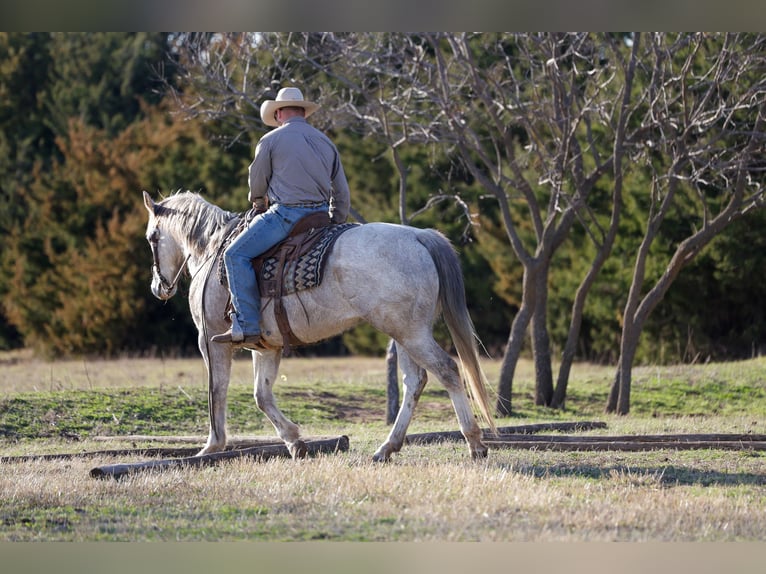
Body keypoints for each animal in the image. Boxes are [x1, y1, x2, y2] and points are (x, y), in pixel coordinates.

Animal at [142, 190, 496, 461]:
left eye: (152, 237)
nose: (159, 287)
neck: (214, 249)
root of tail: (418, 235)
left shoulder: (210, 341)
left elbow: (217, 390)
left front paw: (212, 447)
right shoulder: (265, 347)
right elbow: (261, 395)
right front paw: (295, 442)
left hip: (412, 334)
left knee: (447, 370)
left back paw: (474, 442)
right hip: (405, 334)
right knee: (415, 381)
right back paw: (387, 448)